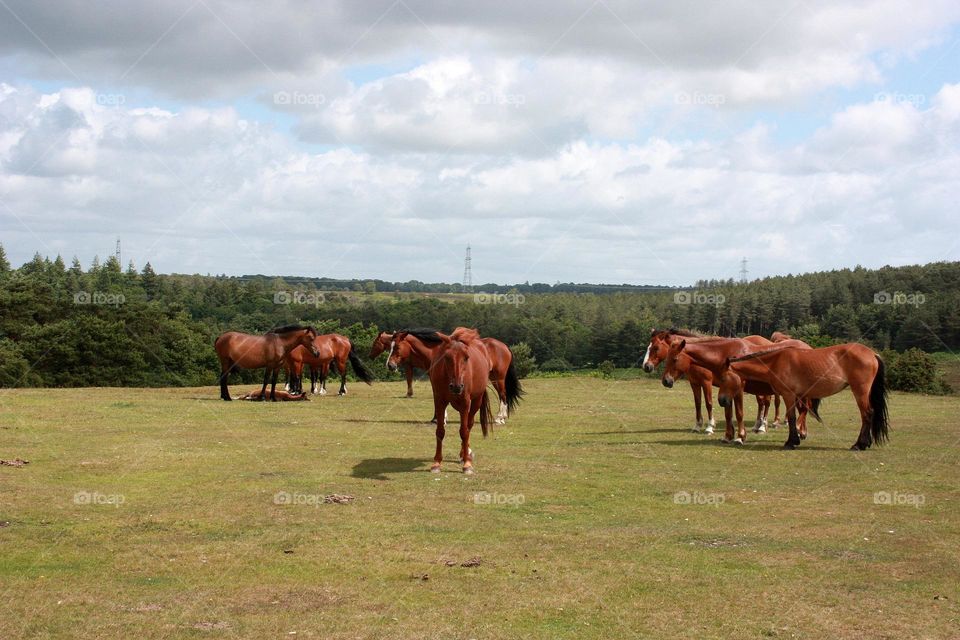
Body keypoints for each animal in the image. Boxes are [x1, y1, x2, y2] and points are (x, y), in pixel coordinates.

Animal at [716, 344, 888, 450]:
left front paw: (791, 442)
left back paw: (859, 445)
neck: (775, 362)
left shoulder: (788, 395)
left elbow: (792, 417)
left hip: (860, 391)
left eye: (723, 378)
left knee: (867, 414)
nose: (721, 400)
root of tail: (872, 354)